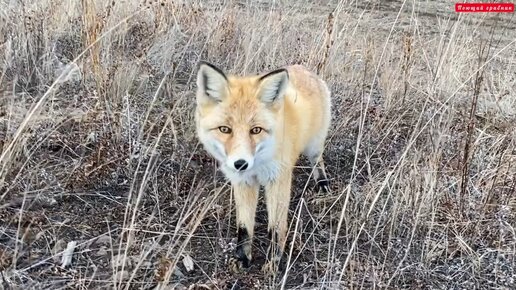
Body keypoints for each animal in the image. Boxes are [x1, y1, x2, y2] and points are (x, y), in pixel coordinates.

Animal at [192, 60, 330, 274]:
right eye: (225, 129)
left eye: (256, 130)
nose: (240, 163)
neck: (258, 166)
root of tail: (301, 68)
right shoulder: (243, 182)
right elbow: (244, 227)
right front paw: (242, 258)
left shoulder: (278, 179)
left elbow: (276, 229)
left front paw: (274, 262)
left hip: (313, 146)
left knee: (318, 160)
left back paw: (322, 183)